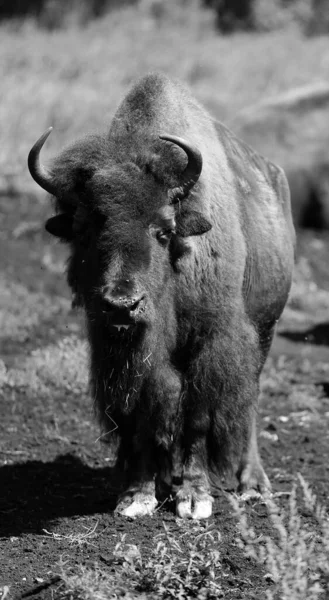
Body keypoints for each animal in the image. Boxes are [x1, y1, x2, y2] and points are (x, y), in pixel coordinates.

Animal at [27, 72, 294, 516]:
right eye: (84, 228)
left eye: (164, 230)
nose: (122, 305)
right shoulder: (122, 352)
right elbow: (141, 416)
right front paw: (137, 496)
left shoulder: (208, 341)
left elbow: (198, 416)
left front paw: (194, 497)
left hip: (265, 328)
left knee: (249, 401)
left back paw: (252, 483)